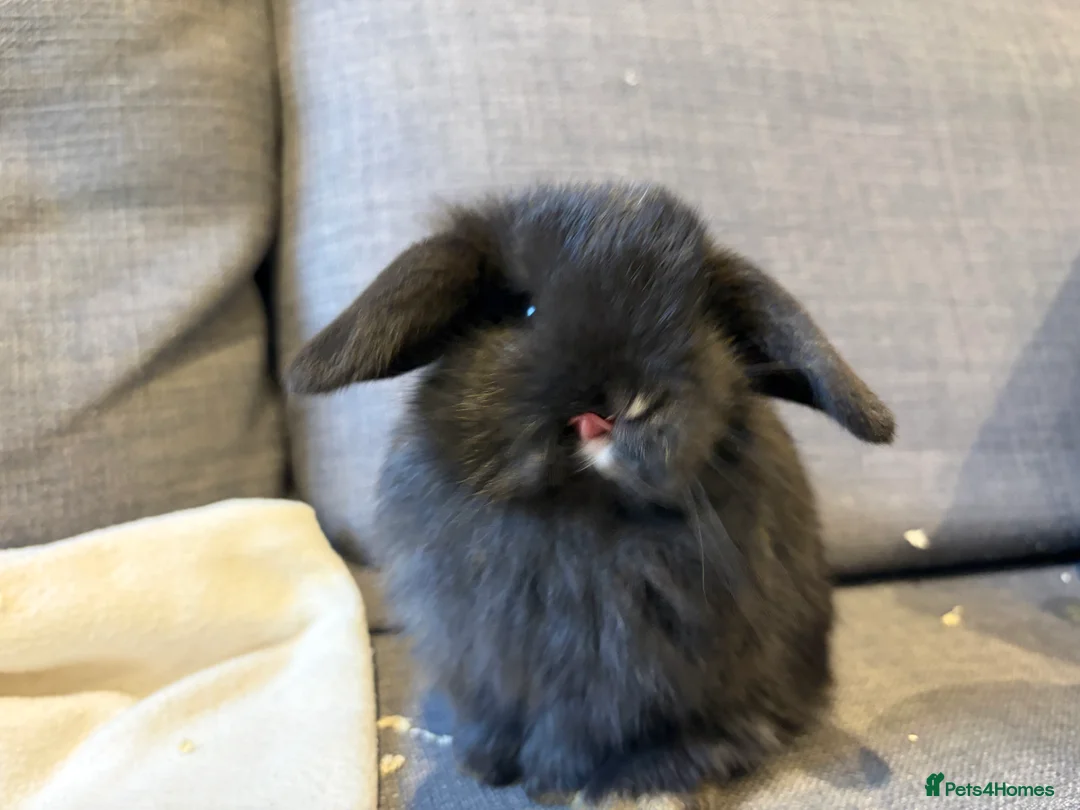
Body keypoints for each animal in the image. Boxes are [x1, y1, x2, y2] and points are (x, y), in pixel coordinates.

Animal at [286, 182, 895, 805]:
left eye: (698, 320)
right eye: (525, 308)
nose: (618, 398)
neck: (581, 512)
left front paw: (630, 784)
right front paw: (488, 763)